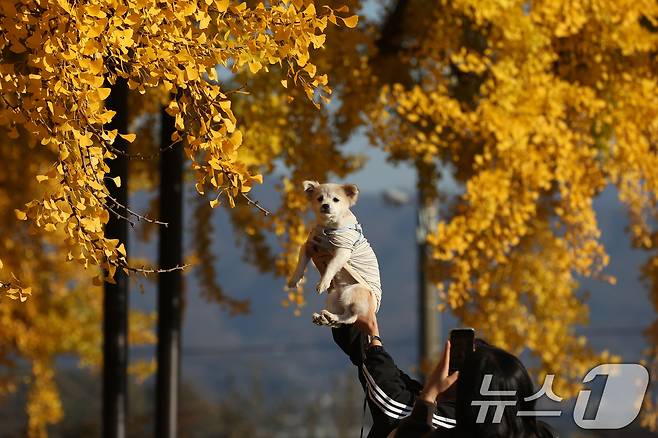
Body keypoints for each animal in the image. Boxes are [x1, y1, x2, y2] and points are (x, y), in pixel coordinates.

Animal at [286, 180, 382, 326]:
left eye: (336, 200)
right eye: (319, 198)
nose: (325, 205)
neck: (328, 227)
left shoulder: (343, 251)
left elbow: (331, 266)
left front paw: (322, 283)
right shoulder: (309, 246)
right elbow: (300, 264)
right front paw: (294, 280)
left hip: (353, 292)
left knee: (351, 316)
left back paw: (330, 317)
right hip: (333, 297)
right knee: (341, 316)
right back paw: (325, 318)